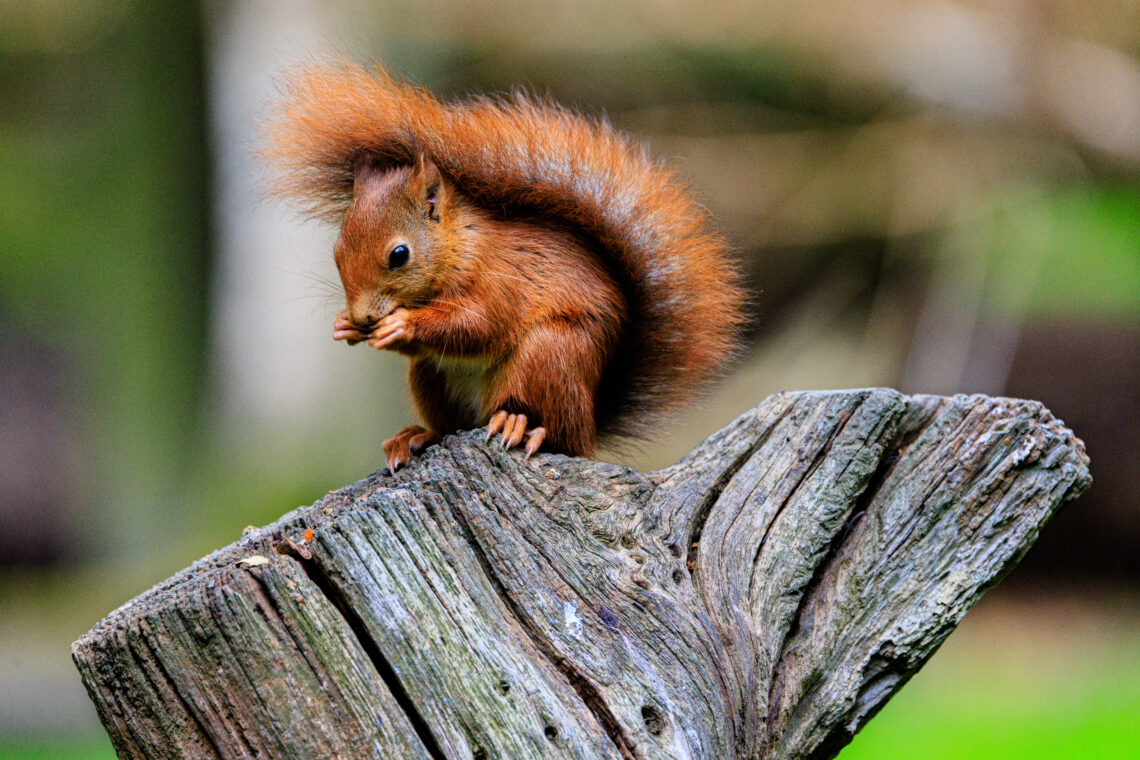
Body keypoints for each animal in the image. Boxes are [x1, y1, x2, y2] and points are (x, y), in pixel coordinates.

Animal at [266, 65, 747, 471]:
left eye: (398, 255)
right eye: (337, 250)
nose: (364, 315)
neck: (458, 249)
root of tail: (591, 421)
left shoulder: (502, 279)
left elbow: (481, 324)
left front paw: (403, 323)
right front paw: (343, 326)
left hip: (550, 356)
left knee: (556, 436)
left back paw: (521, 426)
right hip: (433, 379)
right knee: (453, 424)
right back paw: (417, 436)